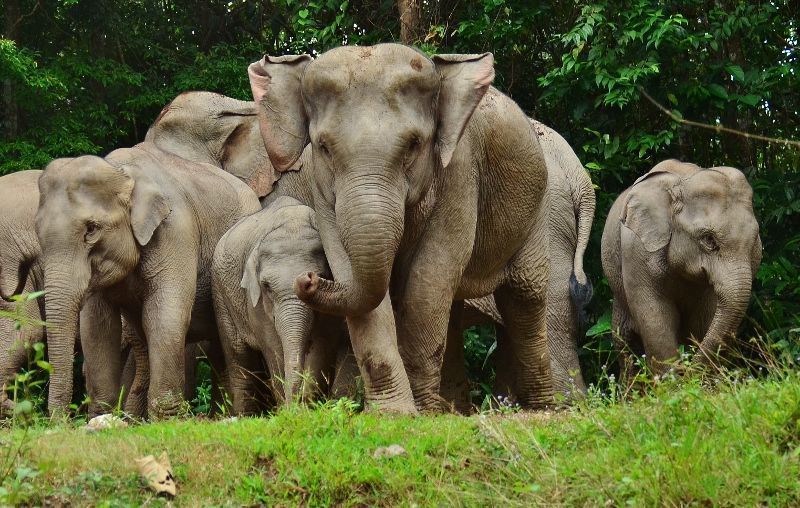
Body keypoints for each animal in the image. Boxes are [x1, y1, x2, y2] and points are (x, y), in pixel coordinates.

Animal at [35, 142, 261, 417]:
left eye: (91, 229)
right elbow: (96, 326)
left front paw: (167, 417)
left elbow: (165, 314)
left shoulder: (175, 231)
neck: (122, 172)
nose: (62, 420)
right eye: (37, 231)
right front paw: (103, 416)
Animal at [212, 196, 345, 413]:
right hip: (220, 294)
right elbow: (273, 347)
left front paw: (308, 407)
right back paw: (243, 414)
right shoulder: (255, 303)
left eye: (320, 276)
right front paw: (288, 409)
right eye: (266, 286)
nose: (295, 406)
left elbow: (323, 343)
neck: (293, 222)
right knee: (239, 356)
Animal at [249, 43, 553, 412]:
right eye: (323, 147)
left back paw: (544, 408)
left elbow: (430, 277)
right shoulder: (321, 189)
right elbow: (353, 272)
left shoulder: (461, 172)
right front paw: (394, 413)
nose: (306, 279)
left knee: (525, 296)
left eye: (413, 145)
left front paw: (419, 411)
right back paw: (452, 410)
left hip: (537, 206)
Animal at [601, 159, 762, 374]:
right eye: (709, 239)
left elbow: (705, 317)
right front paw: (673, 381)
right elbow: (654, 319)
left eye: (755, 241)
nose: (690, 368)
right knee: (624, 344)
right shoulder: (635, 251)